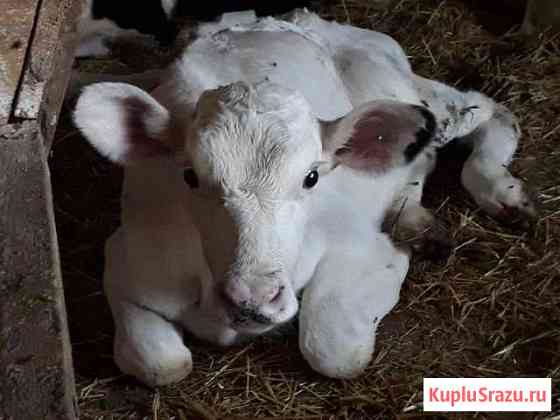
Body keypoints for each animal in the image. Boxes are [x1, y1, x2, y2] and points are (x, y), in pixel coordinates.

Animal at [72, 9, 536, 386]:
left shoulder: (360, 246)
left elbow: (334, 350)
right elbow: (161, 364)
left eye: (312, 177)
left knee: (486, 109)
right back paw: (414, 217)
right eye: (190, 176)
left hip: (408, 92)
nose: (253, 299)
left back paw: (498, 188)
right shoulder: (127, 257)